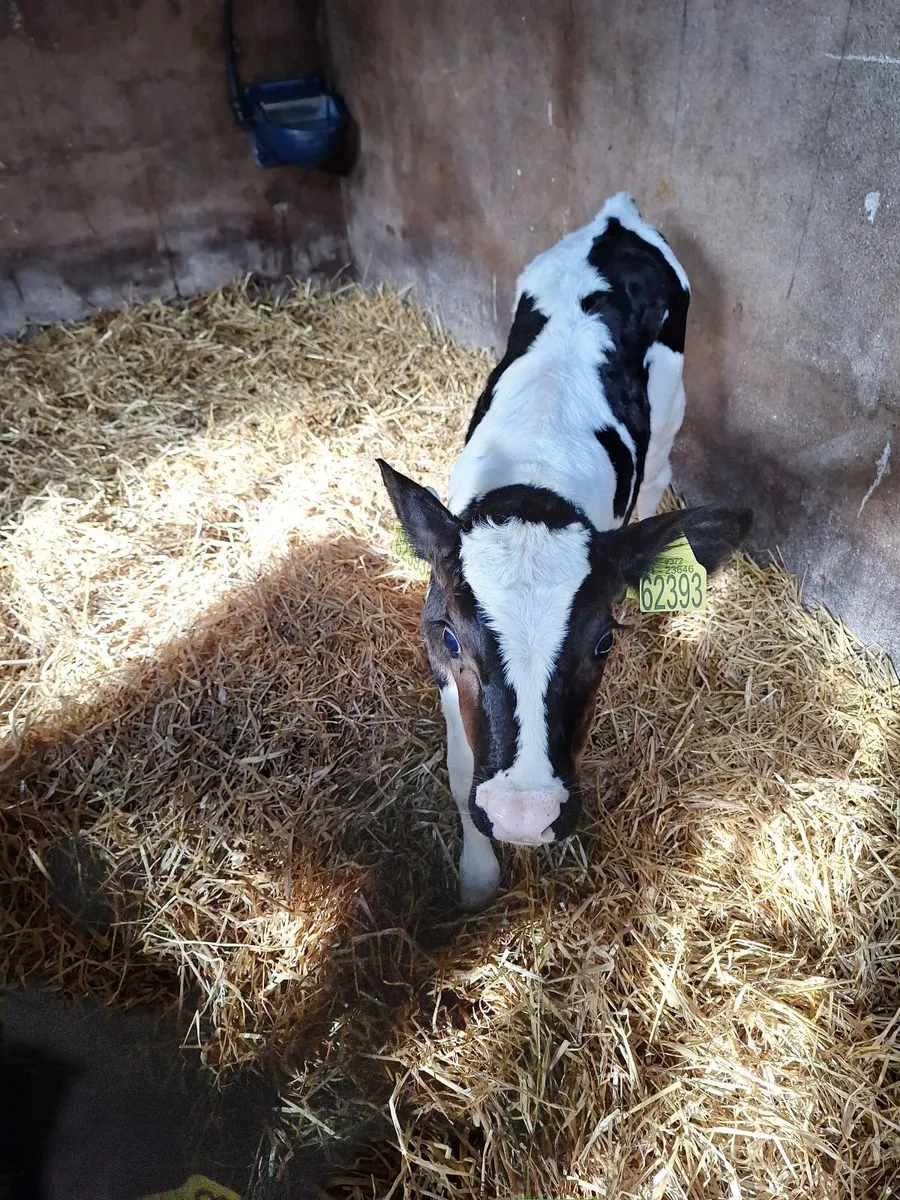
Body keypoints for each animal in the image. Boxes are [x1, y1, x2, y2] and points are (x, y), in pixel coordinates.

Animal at [378, 193, 751, 908]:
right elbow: (461, 764)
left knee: (657, 478)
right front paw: (478, 878)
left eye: (603, 641)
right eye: (451, 635)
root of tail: (616, 219)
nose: (525, 816)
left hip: (672, 407)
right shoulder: (438, 657)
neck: (535, 473)